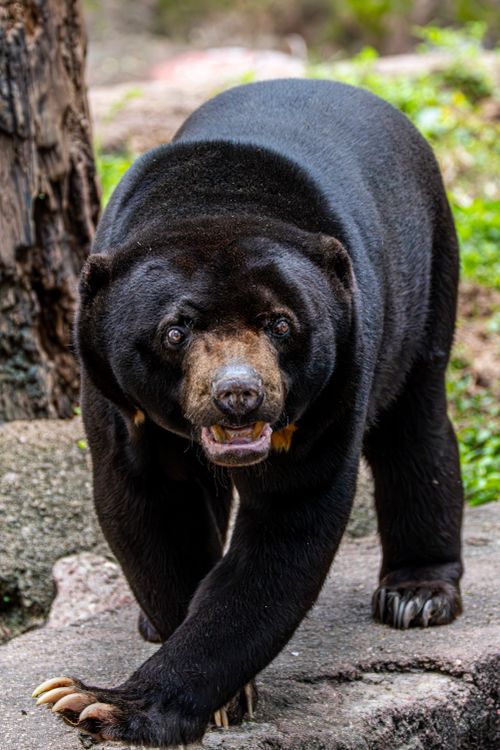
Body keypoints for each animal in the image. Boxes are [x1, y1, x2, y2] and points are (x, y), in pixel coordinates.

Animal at [33, 79, 464, 746]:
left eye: (280, 324)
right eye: (176, 330)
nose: (239, 394)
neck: (217, 197)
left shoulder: (335, 385)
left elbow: (288, 526)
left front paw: (98, 704)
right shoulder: (114, 393)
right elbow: (154, 508)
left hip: (429, 275)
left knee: (416, 431)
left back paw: (417, 595)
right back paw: (148, 623)